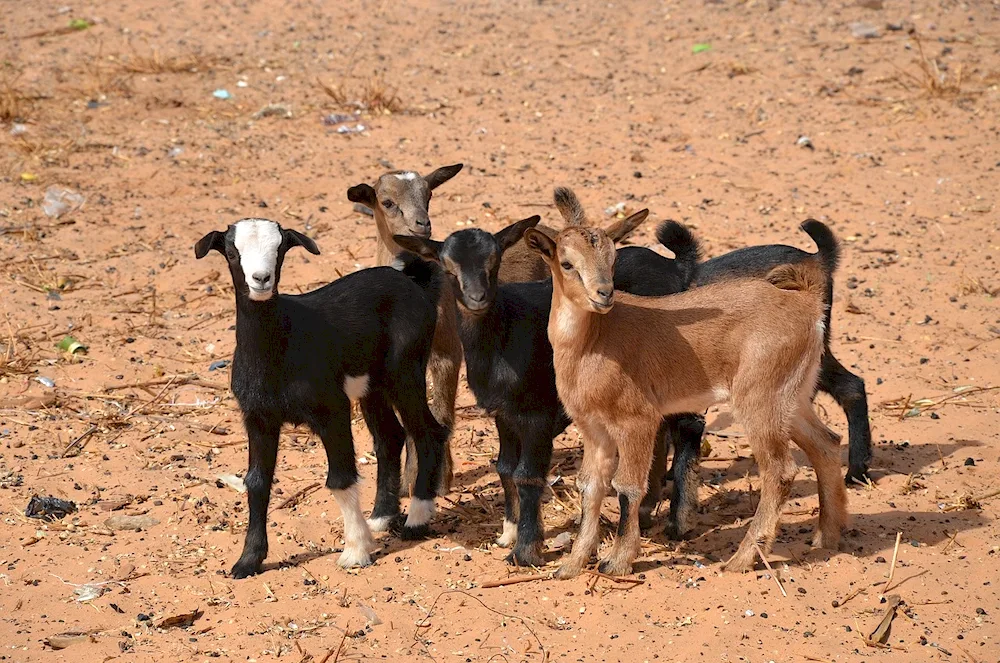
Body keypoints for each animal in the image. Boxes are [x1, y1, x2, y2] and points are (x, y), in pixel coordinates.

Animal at [195, 220, 446, 580]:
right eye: (231, 251)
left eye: (279, 249)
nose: (261, 279)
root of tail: (413, 283)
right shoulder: (258, 418)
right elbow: (256, 482)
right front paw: (248, 560)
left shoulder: (331, 410)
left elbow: (340, 480)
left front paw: (355, 552)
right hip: (372, 385)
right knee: (390, 437)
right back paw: (381, 517)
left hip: (406, 369)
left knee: (428, 432)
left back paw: (416, 520)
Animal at [398, 201, 704, 564]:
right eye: (447, 266)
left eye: (495, 260)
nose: (477, 297)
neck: (503, 332)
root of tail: (675, 268)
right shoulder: (504, 413)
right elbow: (504, 468)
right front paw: (509, 532)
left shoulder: (537, 411)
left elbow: (527, 475)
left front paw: (526, 550)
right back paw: (645, 509)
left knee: (687, 428)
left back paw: (678, 521)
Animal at [528, 210, 848, 580]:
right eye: (566, 263)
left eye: (612, 259)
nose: (604, 294)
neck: (591, 343)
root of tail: (808, 305)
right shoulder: (595, 430)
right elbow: (590, 486)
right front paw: (572, 564)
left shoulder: (637, 421)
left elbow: (627, 487)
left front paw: (618, 560)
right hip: (792, 398)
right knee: (827, 444)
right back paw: (827, 537)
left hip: (761, 400)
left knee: (780, 471)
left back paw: (741, 559)